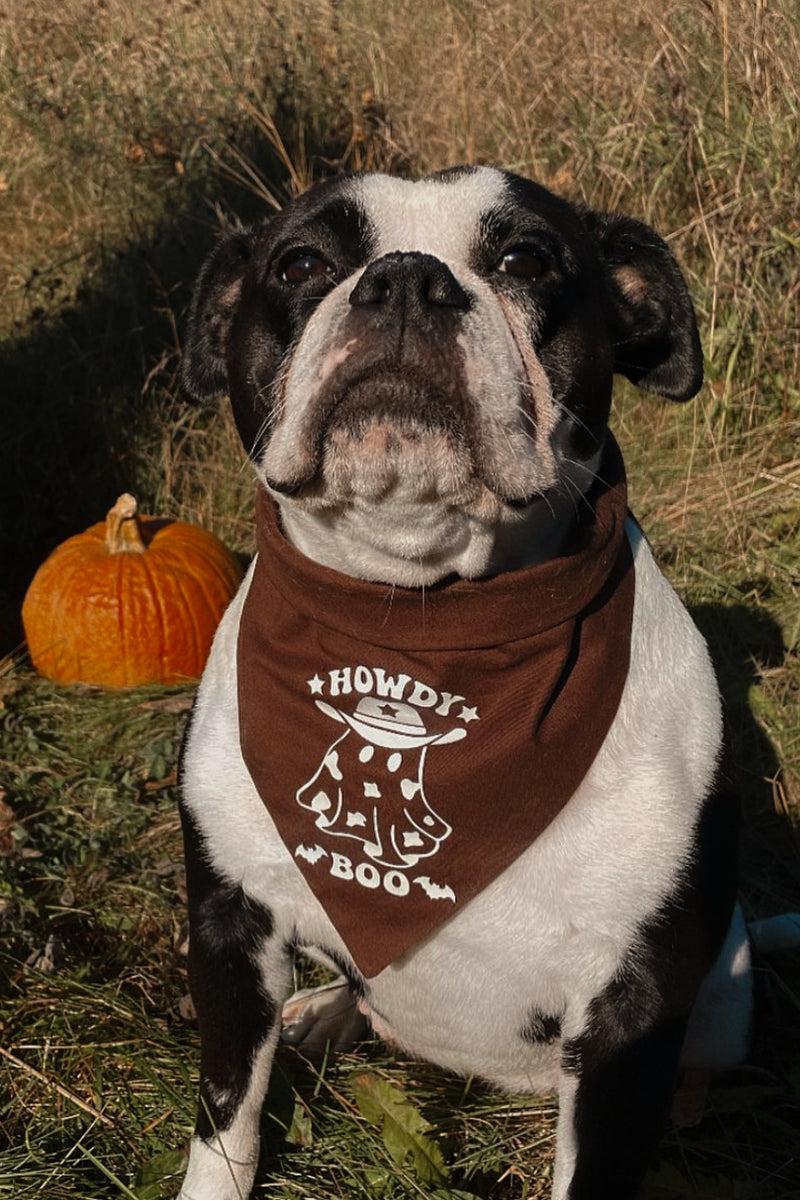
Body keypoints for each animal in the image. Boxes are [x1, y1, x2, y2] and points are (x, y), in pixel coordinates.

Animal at [173, 169, 758, 1200]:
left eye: (527, 258)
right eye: (301, 263)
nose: (407, 280)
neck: (419, 618)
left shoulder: (634, 1010)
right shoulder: (229, 926)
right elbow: (227, 1122)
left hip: (730, 987)